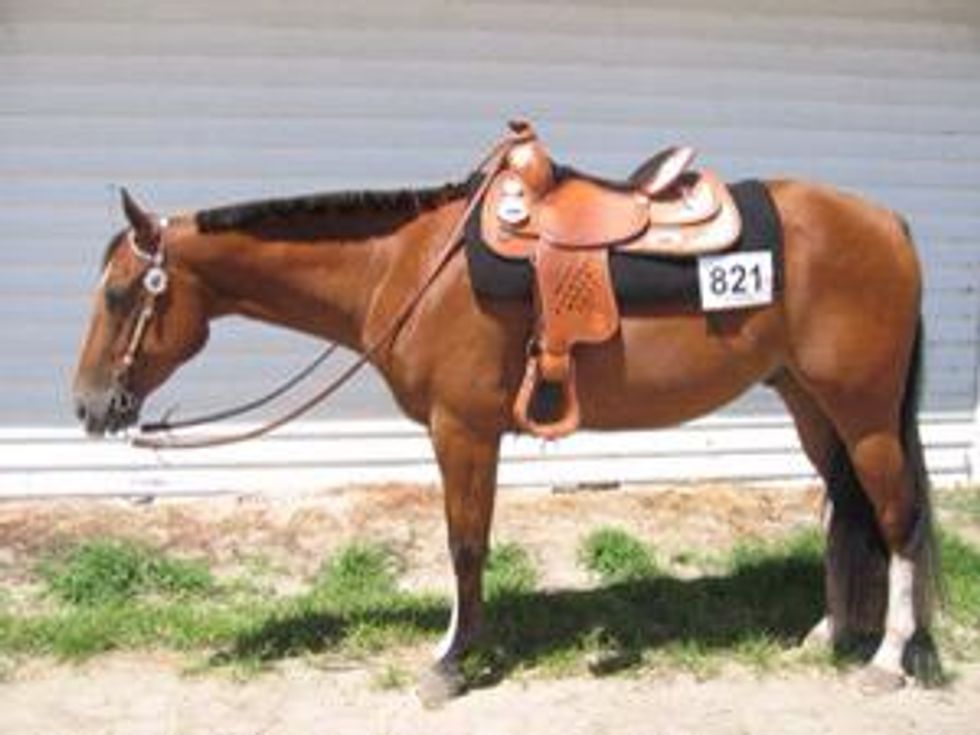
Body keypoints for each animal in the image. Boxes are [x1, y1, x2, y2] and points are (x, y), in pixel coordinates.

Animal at [72, 128, 940, 704]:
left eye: (117, 294)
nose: (88, 404)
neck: (409, 264)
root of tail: (889, 223)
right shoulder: (469, 431)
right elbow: (470, 543)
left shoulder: (461, 428)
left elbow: (464, 544)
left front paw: (450, 662)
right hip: (808, 400)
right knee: (845, 508)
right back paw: (830, 634)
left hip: (864, 411)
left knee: (896, 516)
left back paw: (891, 656)